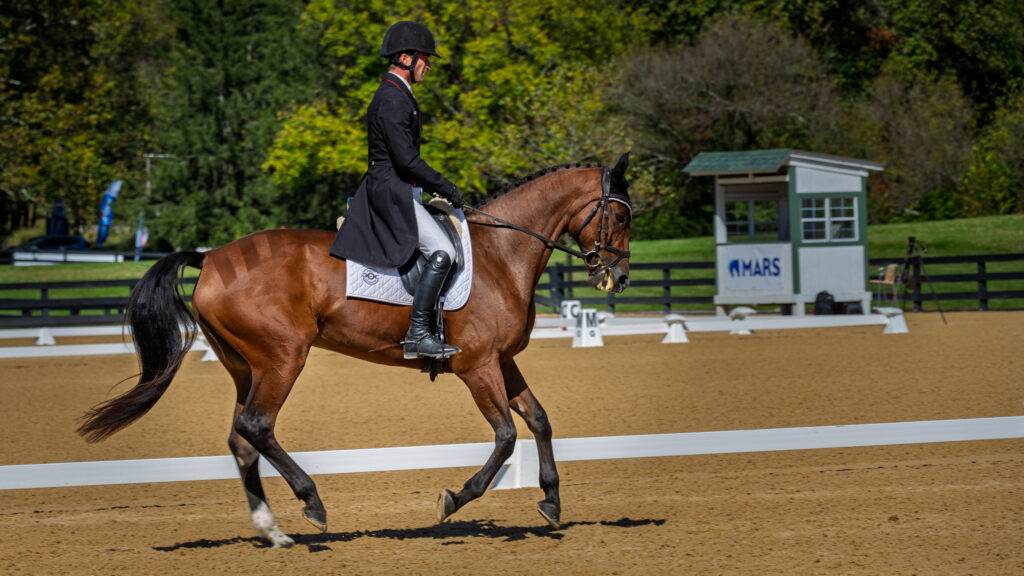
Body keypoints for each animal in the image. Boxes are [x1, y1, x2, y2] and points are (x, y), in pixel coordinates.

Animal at [77, 153, 633, 548]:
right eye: (622, 218)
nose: (619, 278)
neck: (503, 255)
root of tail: (211, 257)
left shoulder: (503, 361)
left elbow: (538, 419)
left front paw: (552, 502)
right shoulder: (477, 367)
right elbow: (504, 437)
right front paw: (454, 500)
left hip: (246, 366)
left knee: (241, 438)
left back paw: (273, 531)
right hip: (282, 358)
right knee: (257, 426)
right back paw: (313, 504)